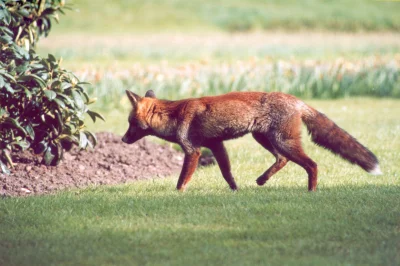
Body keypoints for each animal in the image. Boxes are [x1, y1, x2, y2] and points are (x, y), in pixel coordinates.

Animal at [122, 90, 382, 191]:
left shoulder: (192, 151)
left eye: (130, 123)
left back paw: (311, 191)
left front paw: (177, 194)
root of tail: (295, 99)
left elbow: (181, 180)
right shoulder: (217, 146)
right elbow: (227, 173)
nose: (123, 140)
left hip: (282, 141)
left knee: (312, 164)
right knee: (282, 160)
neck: (173, 115)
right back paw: (262, 180)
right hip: (265, 139)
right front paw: (236, 191)